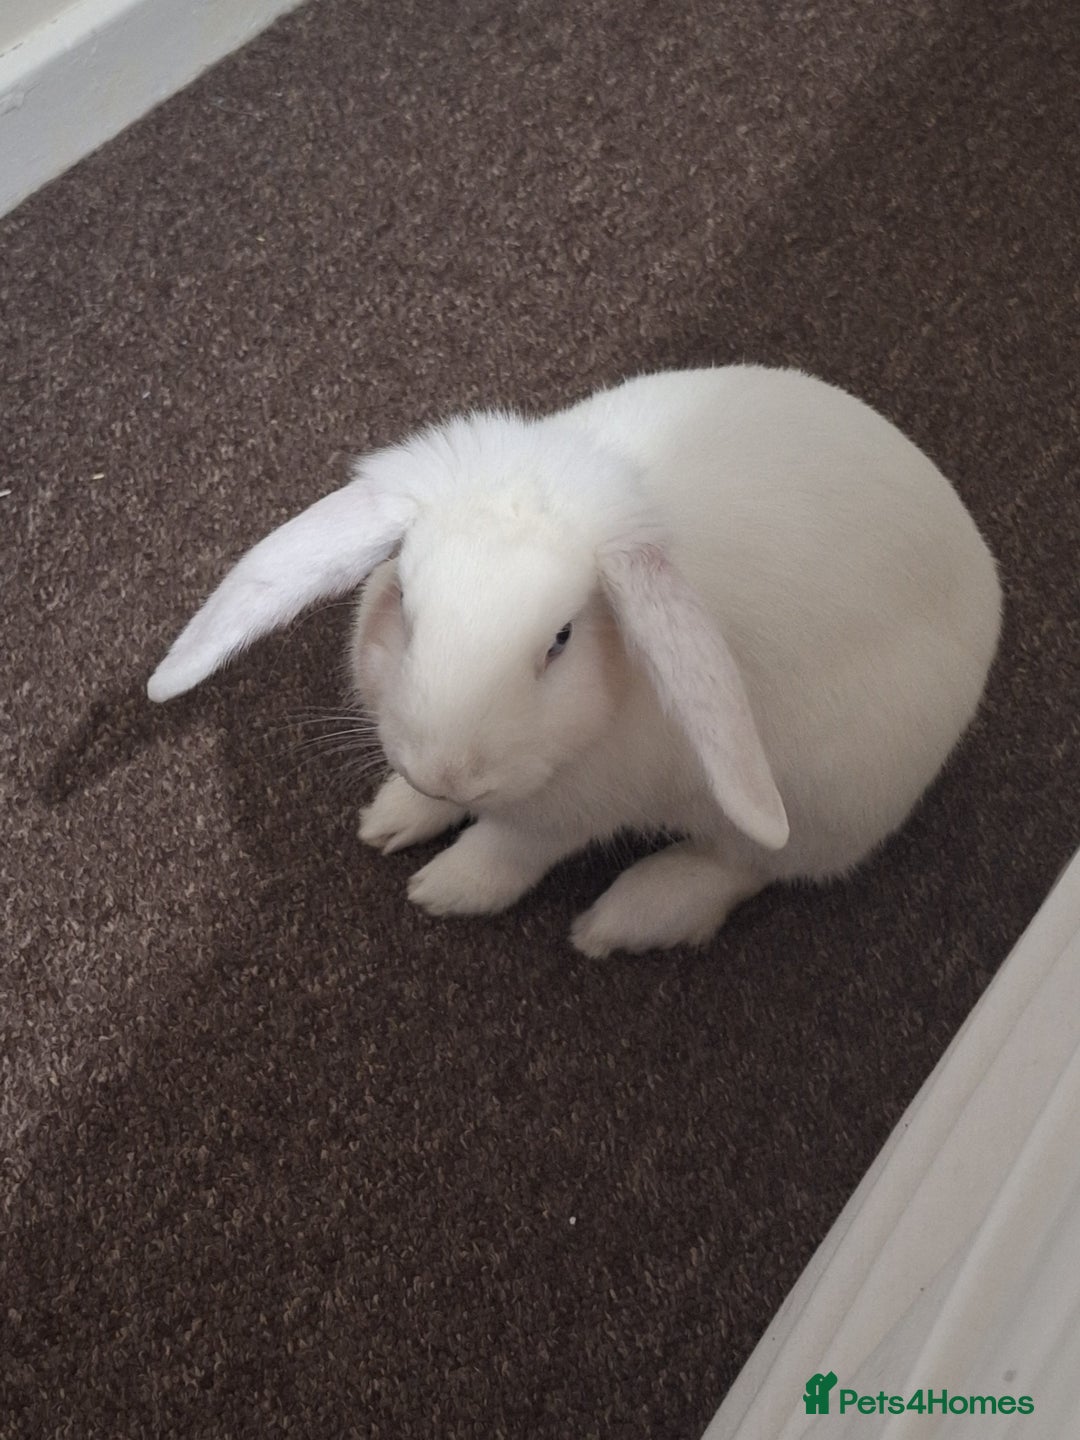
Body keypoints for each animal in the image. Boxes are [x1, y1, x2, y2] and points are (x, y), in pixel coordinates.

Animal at [148, 366, 1002, 957]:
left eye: (560, 640)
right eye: (406, 603)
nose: (448, 772)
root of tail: (983, 581)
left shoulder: (569, 816)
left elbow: (505, 850)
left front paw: (443, 890)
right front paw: (396, 816)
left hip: (824, 796)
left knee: (754, 864)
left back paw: (622, 919)